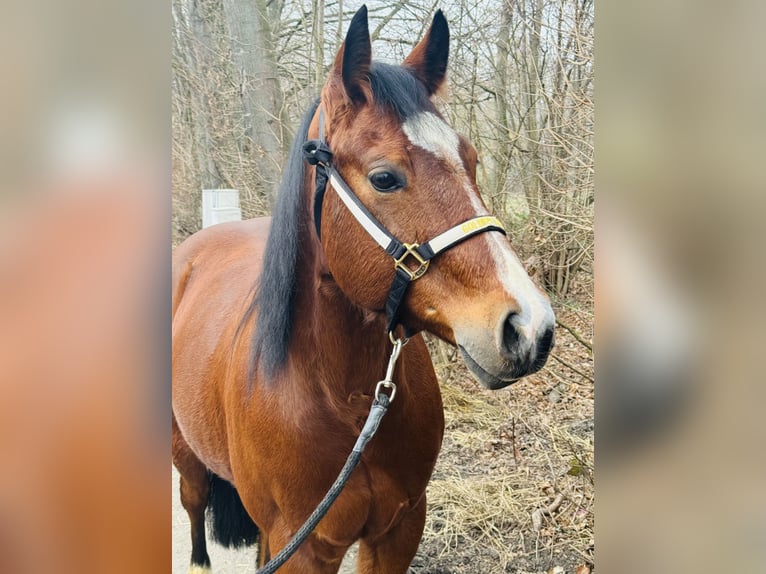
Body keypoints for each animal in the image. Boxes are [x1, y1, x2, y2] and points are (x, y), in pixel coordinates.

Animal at [175, 5, 556, 574]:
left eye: (471, 159)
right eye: (383, 178)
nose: (530, 327)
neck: (347, 402)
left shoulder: (399, 527)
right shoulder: (306, 546)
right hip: (187, 460)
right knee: (195, 508)